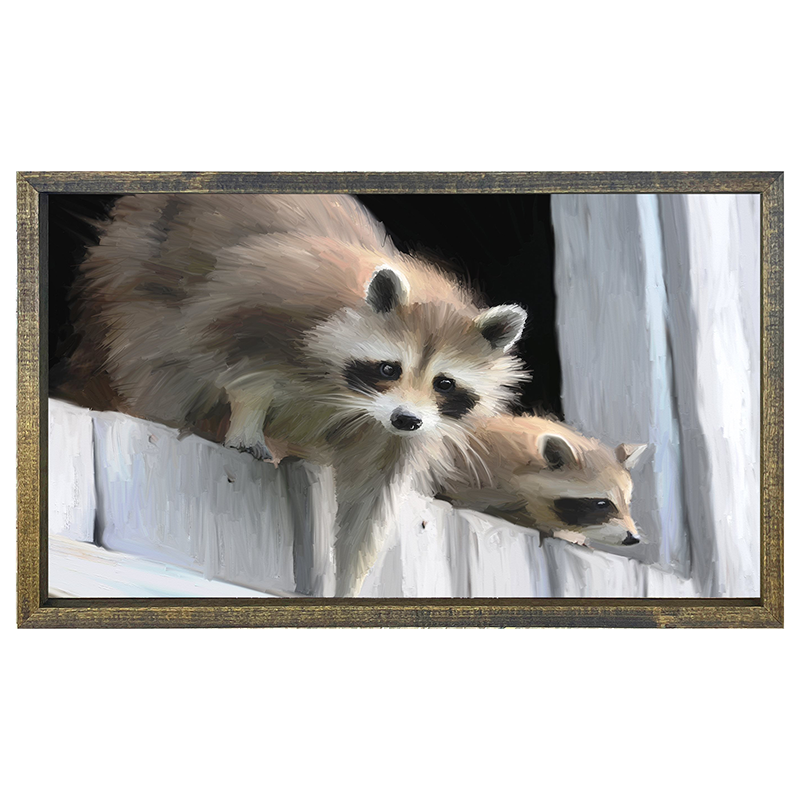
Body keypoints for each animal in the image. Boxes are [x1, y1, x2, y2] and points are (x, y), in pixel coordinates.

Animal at [61, 194, 528, 596]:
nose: (406, 418)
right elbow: (244, 366)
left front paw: (350, 579)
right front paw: (247, 419)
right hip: (132, 292)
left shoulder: (393, 433)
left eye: (444, 383)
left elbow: (369, 500)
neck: (352, 394)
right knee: (158, 372)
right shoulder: (268, 301)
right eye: (389, 368)